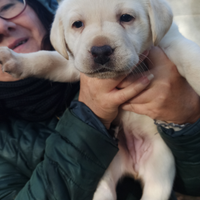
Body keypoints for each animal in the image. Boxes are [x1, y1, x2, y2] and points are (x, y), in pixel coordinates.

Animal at [1, 0, 200, 200]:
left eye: (126, 17)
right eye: (77, 24)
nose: (101, 51)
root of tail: (132, 166)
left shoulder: (170, 41)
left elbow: (189, 59)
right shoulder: (73, 63)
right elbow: (47, 59)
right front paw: (15, 61)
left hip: (160, 171)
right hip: (104, 175)